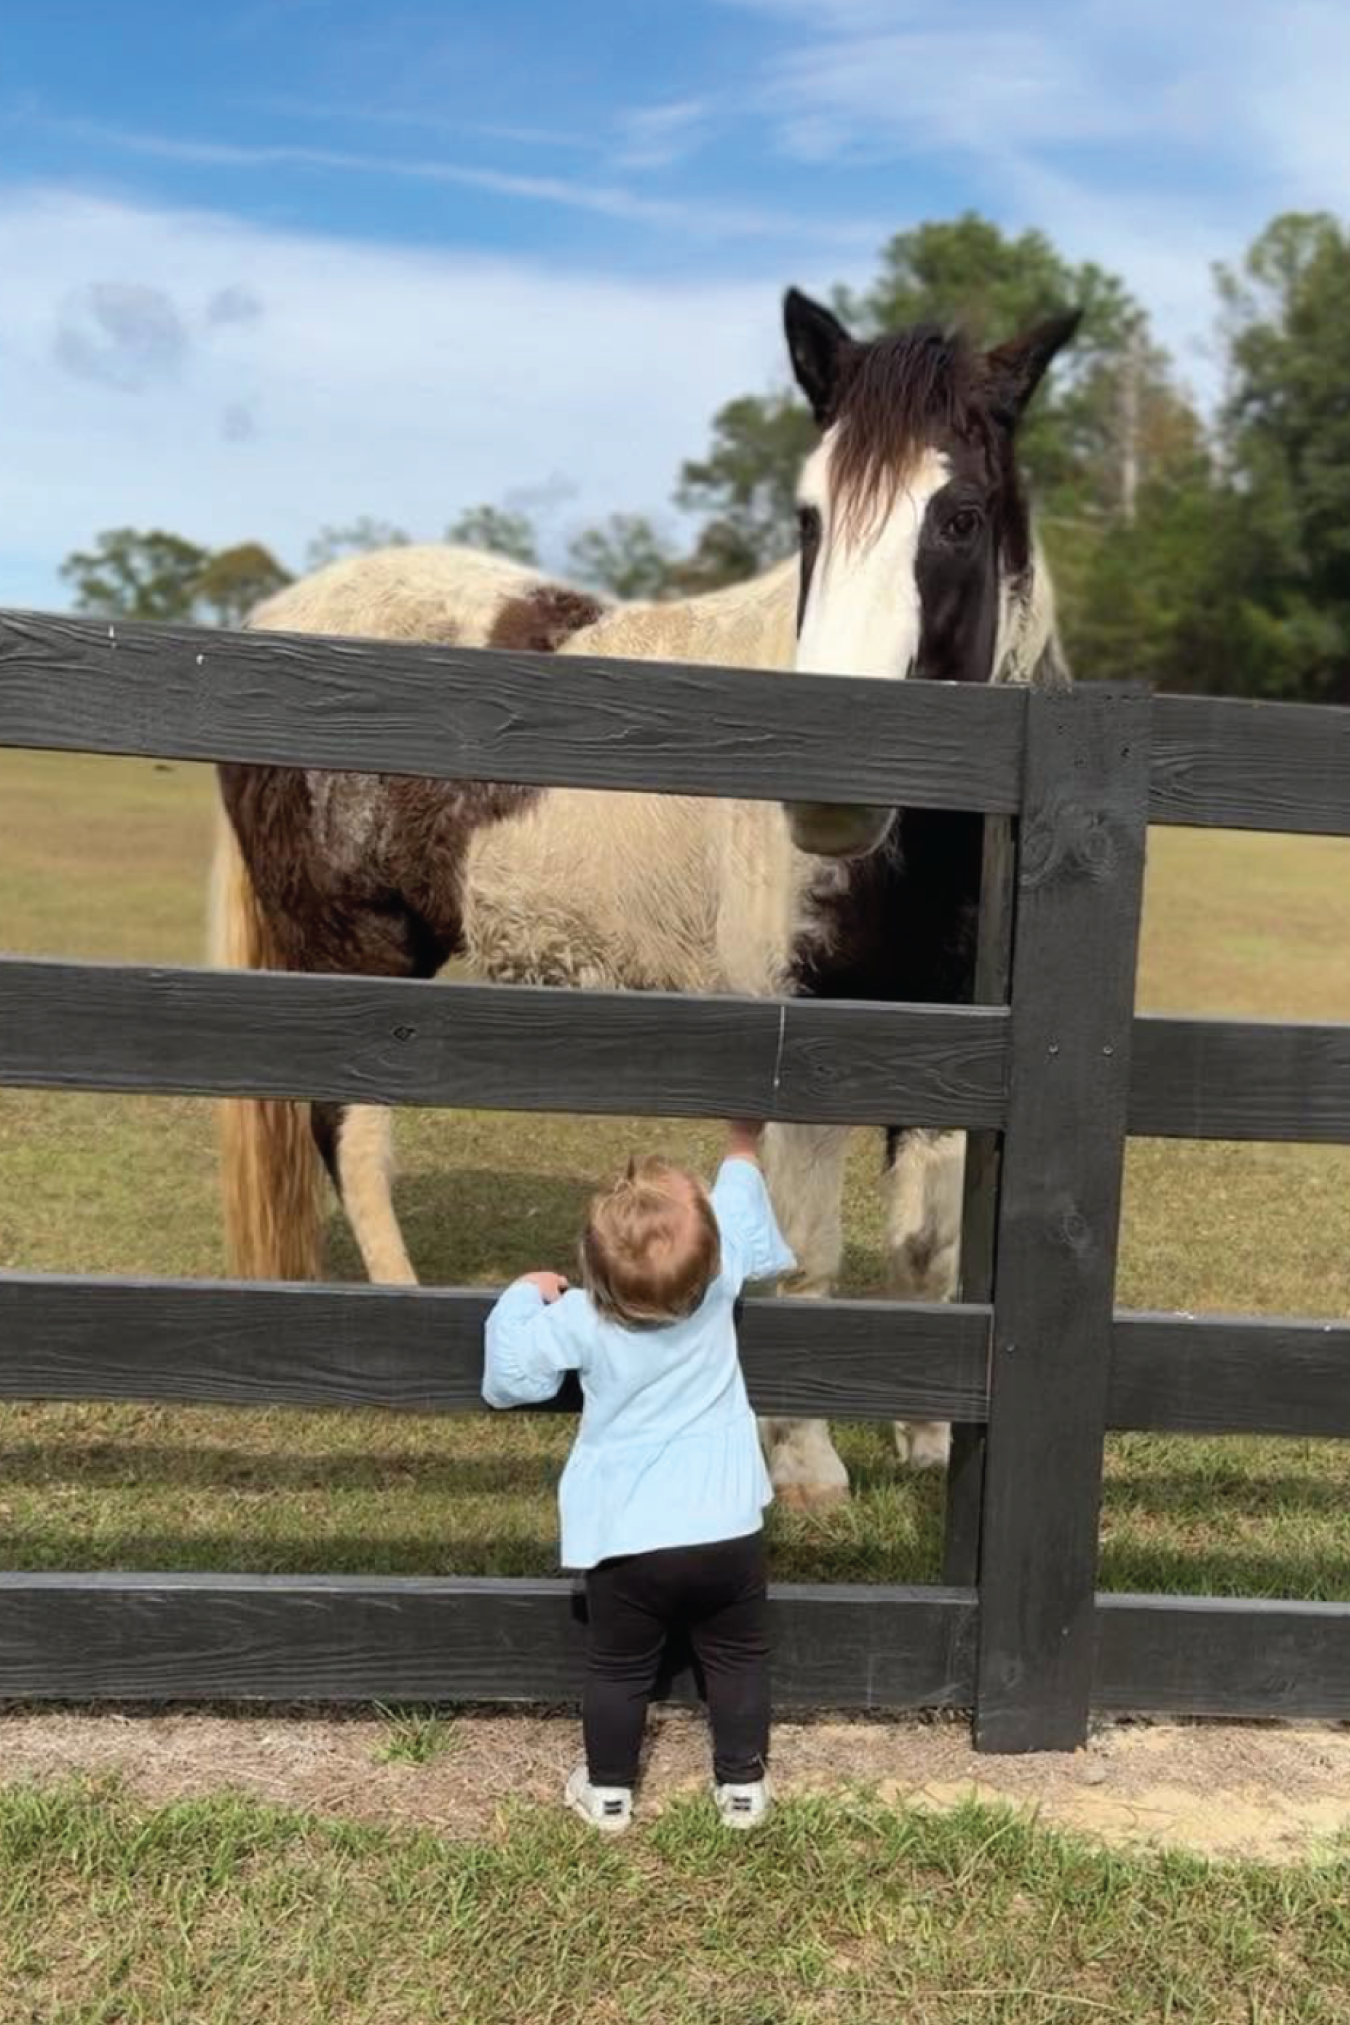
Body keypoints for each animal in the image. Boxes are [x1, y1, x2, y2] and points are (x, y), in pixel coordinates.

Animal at [210, 285, 1078, 1509]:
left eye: (956, 517)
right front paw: (808, 1467)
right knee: (351, 1138)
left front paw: (929, 1437)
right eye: (810, 518)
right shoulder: (806, 1036)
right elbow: (808, 1250)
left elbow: (932, 1248)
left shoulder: (951, 1037)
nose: (830, 793)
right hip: (353, 954)